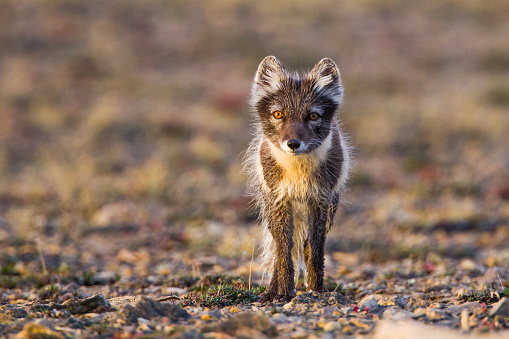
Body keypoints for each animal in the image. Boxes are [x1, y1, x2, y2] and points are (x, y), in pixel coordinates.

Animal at [243, 55, 348, 302]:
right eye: (278, 114)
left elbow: (315, 250)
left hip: (331, 205)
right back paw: (272, 290)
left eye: (313, 116)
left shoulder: (320, 199)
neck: (298, 174)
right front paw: (283, 291)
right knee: (282, 247)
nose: (292, 143)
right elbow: (284, 250)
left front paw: (317, 290)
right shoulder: (278, 200)